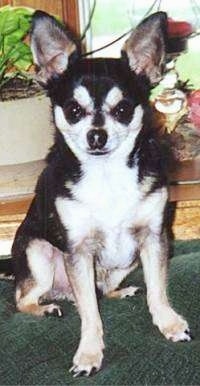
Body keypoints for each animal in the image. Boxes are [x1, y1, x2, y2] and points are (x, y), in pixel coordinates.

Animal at [6, 9, 191, 376]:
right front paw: (90, 353)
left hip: (125, 260)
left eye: (122, 110)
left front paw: (168, 323)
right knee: (25, 300)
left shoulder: (153, 238)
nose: (96, 135)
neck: (107, 176)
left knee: (102, 290)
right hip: (39, 254)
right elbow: (90, 313)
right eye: (74, 110)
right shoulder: (77, 251)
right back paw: (45, 308)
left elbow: (158, 290)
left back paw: (121, 292)